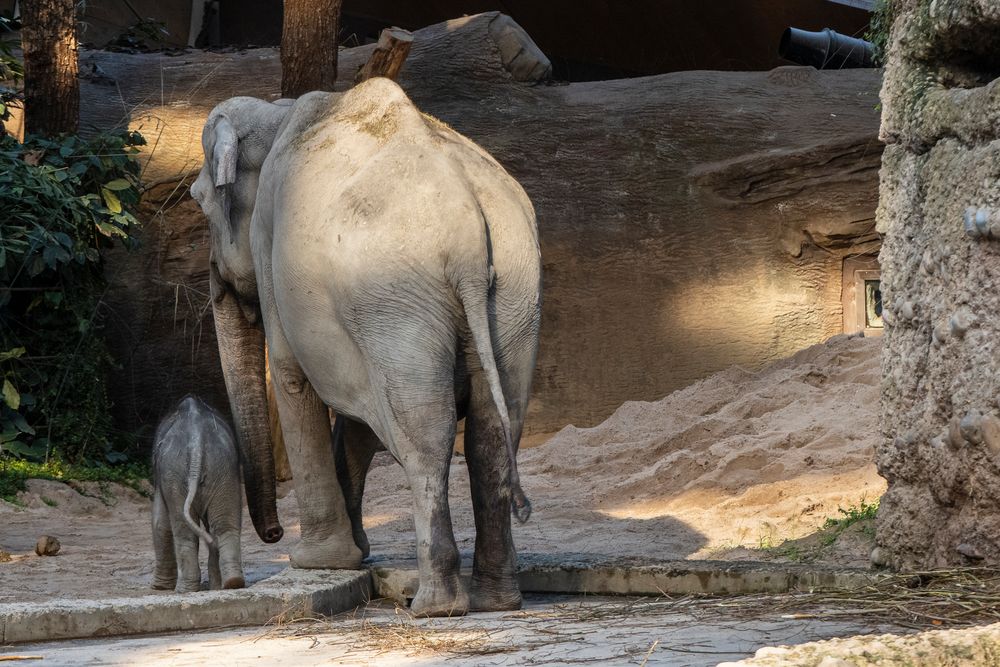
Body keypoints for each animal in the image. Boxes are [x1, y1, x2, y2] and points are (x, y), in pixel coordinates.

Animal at [152, 394, 246, 592]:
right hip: (223, 470)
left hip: (175, 472)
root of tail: (197, 443)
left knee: (184, 532)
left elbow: (160, 521)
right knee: (224, 526)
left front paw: (159, 587)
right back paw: (231, 583)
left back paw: (184, 590)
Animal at [191, 78, 544, 616]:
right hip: (513, 291)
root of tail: (468, 229)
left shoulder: (273, 247)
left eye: (200, 202)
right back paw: (496, 600)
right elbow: (358, 419)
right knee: (492, 433)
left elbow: (293, 378)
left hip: (393, 298)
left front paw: (316, 562)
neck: (278, 112)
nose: (273, 535)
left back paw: (437, 606)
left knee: (425, 434)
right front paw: (354, 555)